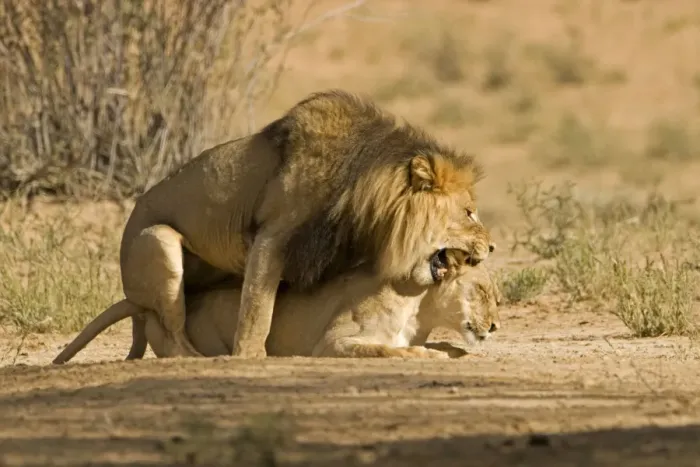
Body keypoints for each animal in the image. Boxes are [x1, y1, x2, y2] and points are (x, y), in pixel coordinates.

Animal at [52, 249, 501, 363]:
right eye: (483, 291)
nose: (496, 326)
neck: (420, 308)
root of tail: (144, 307)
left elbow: (443, 344)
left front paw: (451, 349)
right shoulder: (332, 343)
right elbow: (387, 349)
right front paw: (429, 354)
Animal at [117, 89, 493, 359]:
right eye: (469, 212)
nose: (491, 247)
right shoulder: (272, 237)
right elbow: (258, 308)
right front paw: (251, 355)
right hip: (158, 241)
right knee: (172, 334)